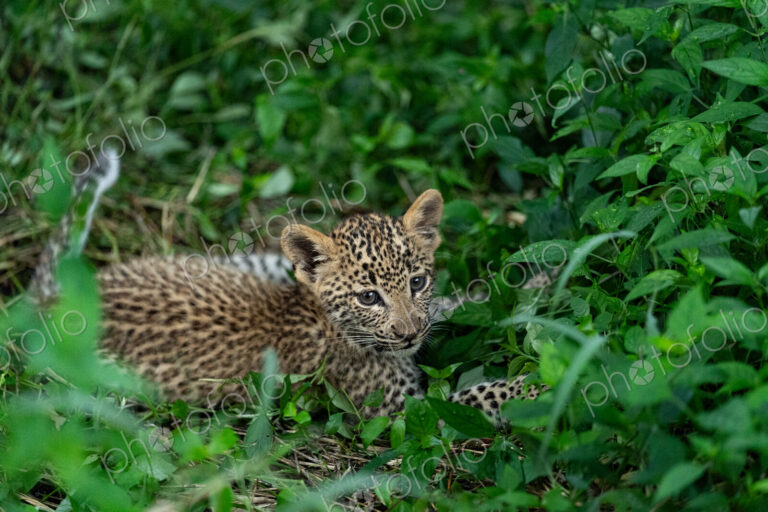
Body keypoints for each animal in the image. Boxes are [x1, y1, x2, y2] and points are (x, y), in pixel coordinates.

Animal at [30, 152, 545, 420]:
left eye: (417, 282)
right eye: (369, 297)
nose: (408, 334)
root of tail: (57, 301)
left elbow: (457, 303)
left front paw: (535, 281)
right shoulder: (402, 412)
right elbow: (478, 397)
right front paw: (540, 388)